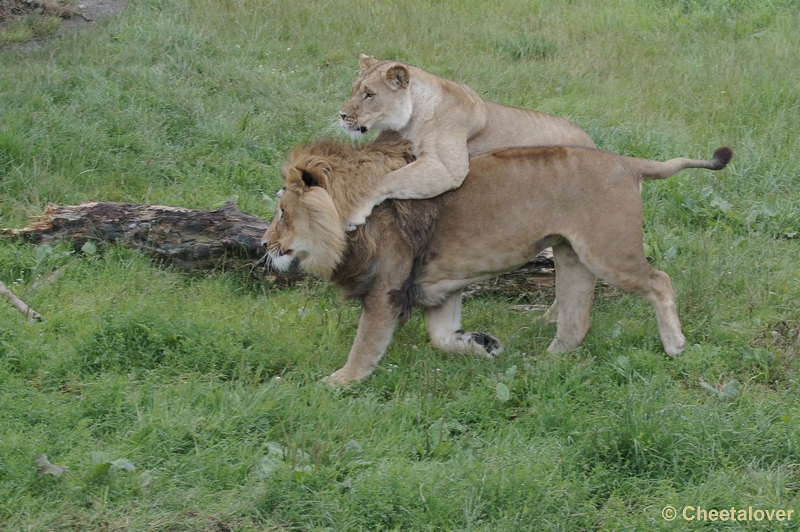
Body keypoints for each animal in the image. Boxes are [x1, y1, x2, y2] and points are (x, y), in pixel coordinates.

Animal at [262, 136, 732, 386]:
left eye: (282, 211)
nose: (264, 244)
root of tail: (627, 163)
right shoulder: (440, 287)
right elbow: (442, 338)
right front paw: (483, 345)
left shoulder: (386, 290)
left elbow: (365, 346)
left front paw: (337, 382)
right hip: (572, 257)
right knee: (576, 322)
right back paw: (542, 364)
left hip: (607, 252)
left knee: (660, 281)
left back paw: (675, 344)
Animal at [338, 53, 592, 230]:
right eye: (353, 90)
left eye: (369, 94)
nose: (341, 114)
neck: (409, 122)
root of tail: (591, 141)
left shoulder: (447, 168)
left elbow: (388, 178)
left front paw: (353, 213)